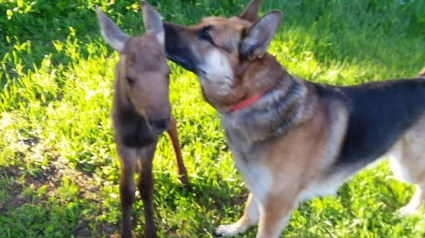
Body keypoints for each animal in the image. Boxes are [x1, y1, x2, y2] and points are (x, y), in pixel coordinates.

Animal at [162, 0, 424, 237]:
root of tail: (420, 80)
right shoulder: (260, 190)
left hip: (405, 168)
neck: (259, 96)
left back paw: (409, 212)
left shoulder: (276, 208)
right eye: (200, 24)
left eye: (205, 35)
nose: (159, 22)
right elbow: (249, 212)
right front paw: (235, 229)